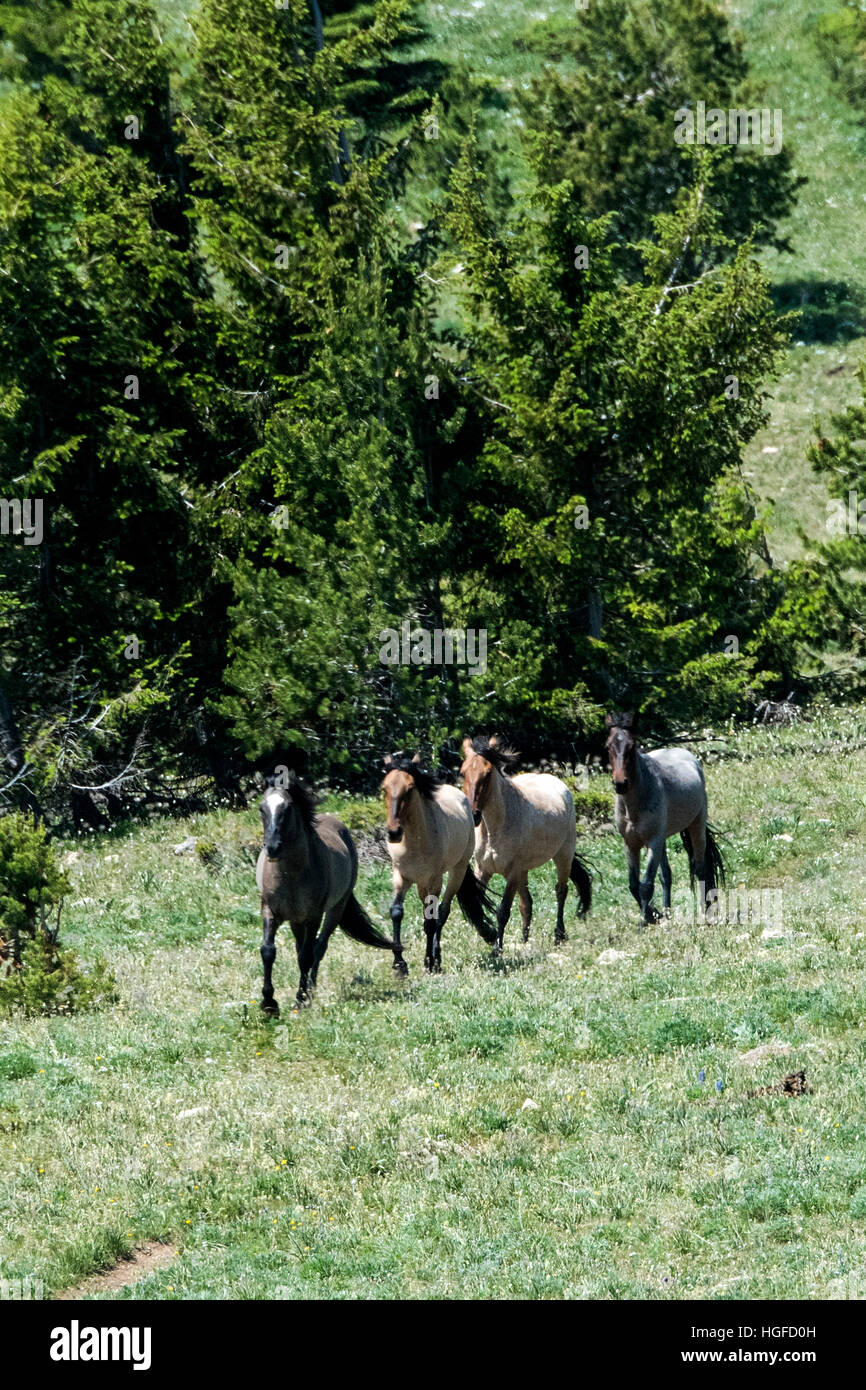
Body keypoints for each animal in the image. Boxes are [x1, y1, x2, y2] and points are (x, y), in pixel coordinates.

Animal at [257, 778, 400, 1013]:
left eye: (287, 808)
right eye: (262, 808)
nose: (272, 848)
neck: (290, 874)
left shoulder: (313, 916)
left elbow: (306, 956)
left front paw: (301, 998)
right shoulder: (270, 911)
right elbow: (268, 951)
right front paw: (269, 1003)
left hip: (334, 909)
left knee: (318, 947)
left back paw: (311, 989)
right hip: (296, 921)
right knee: (303, 947)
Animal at [382, 753, 498, 972]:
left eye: (410, 788)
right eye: (384, 788)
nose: (393, 833)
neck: (415, 842)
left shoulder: (434, 879)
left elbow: (431, 921)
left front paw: (429, 962)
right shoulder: (401, 876)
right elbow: (396, 912)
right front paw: (400, 965)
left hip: (456, 872)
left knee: (442, 912)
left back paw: (436, 958)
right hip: (421, 884)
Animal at [460, 736, 592, 950]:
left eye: (487, 774)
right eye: (463, 772)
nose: (474, 815)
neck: (495, 829)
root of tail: (560, 785)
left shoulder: (512, 873)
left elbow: (503, 911)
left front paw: (496, 949)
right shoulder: (483, 870)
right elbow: (477, 907)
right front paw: (487, 936)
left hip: (562, 856)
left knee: (561, 891)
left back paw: (559, 935)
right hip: (524, 870)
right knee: (526, 904)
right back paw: (524, 940)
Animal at [604, 711, 726, 926]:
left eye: (631, 746)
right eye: (608, 746)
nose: (620, 784)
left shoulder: (653, 842)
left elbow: (645, 885)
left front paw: (644, 922)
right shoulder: (631, 844)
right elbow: (633, 884)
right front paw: (654, 915)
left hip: (695, 827)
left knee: (700, 869)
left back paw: (705, 912)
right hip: (662, 841)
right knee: (666, 875)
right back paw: (668, 912)